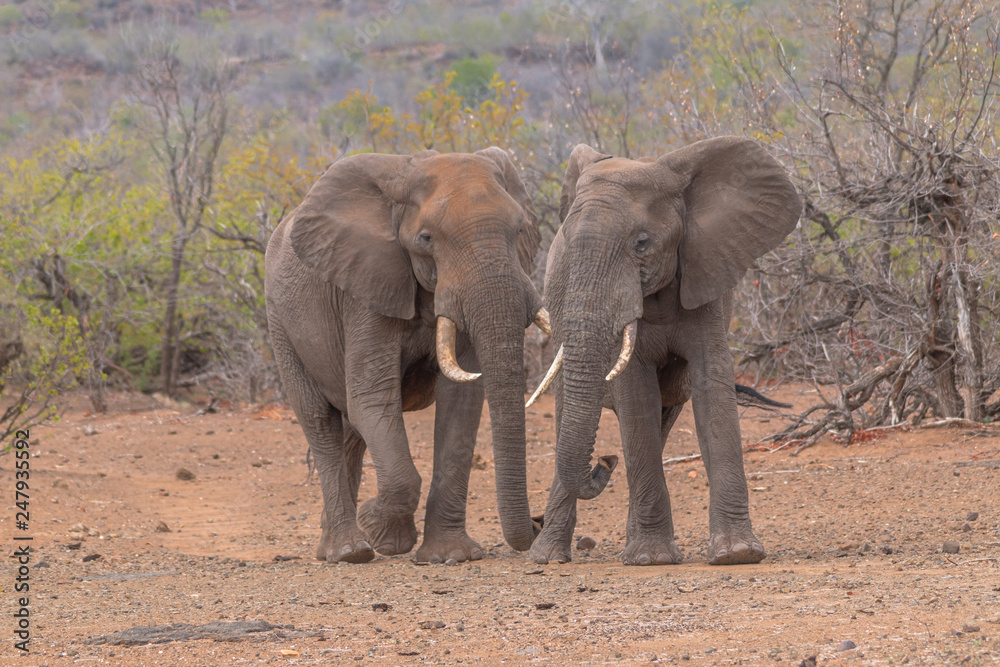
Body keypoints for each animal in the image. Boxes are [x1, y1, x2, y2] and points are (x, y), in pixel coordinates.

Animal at [264, 146, 548, 564]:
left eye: (520, 231)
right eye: (426, 238)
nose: (538, 523)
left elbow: (461, 402)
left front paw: (449, 555)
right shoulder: (366, 288)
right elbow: (372, 399)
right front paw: (381, 532)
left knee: (351, 430)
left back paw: (338, 543)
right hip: (280, 323)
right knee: (320, 421)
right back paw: (350, 551)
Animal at [528, 138, 800, 568]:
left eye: (642, 243)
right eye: (568, 243)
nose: (604, 460)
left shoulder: (706, 274)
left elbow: (711, 386)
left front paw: (736, 554)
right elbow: (635, 392)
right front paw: (653, 559)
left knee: (660, 420)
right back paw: (549, 557)